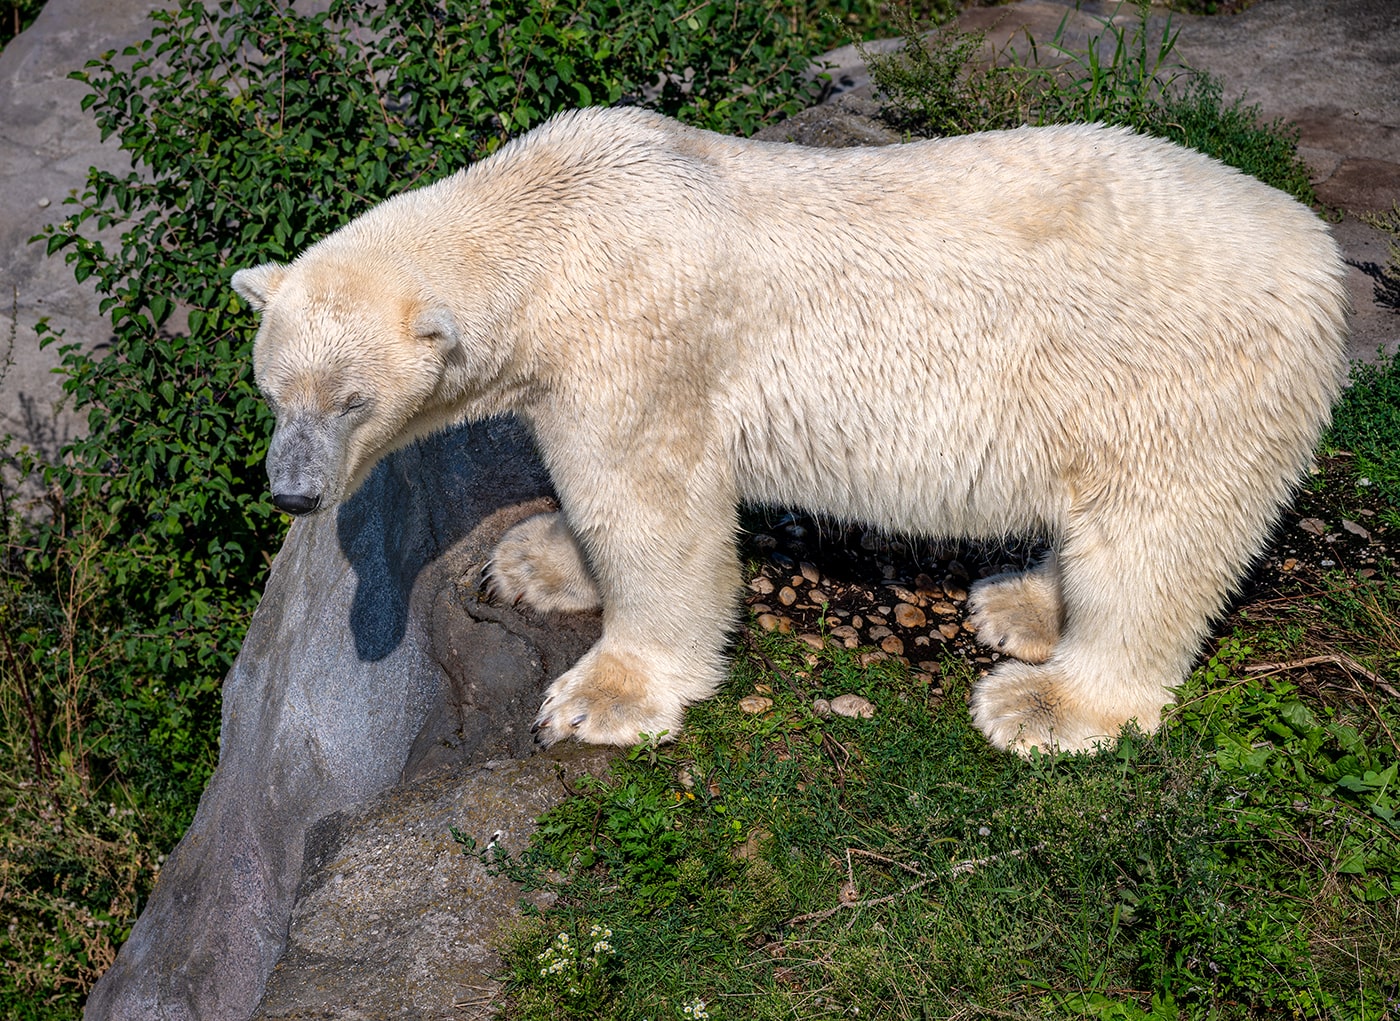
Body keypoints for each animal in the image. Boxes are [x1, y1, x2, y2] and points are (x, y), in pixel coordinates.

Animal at [229, 103, 1344, 756]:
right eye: (273, 391)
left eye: (350, 400)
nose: (293, 491)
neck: (557, 217)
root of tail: (1324, 262)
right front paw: (536, 560)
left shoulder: (638, 346)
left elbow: (653, 515)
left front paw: (601, 697)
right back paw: (1018, 604)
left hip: (1179, 388)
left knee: (1152, 548)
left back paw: (1046, 701)